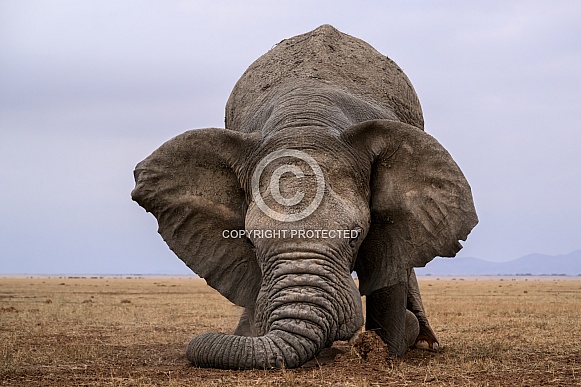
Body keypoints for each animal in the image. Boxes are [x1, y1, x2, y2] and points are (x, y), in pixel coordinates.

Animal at [131, 24, 476, 370]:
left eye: (355, 236)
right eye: (251, 242)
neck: (306, 122)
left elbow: (389, 271)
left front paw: (385, 347)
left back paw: (424, 341)